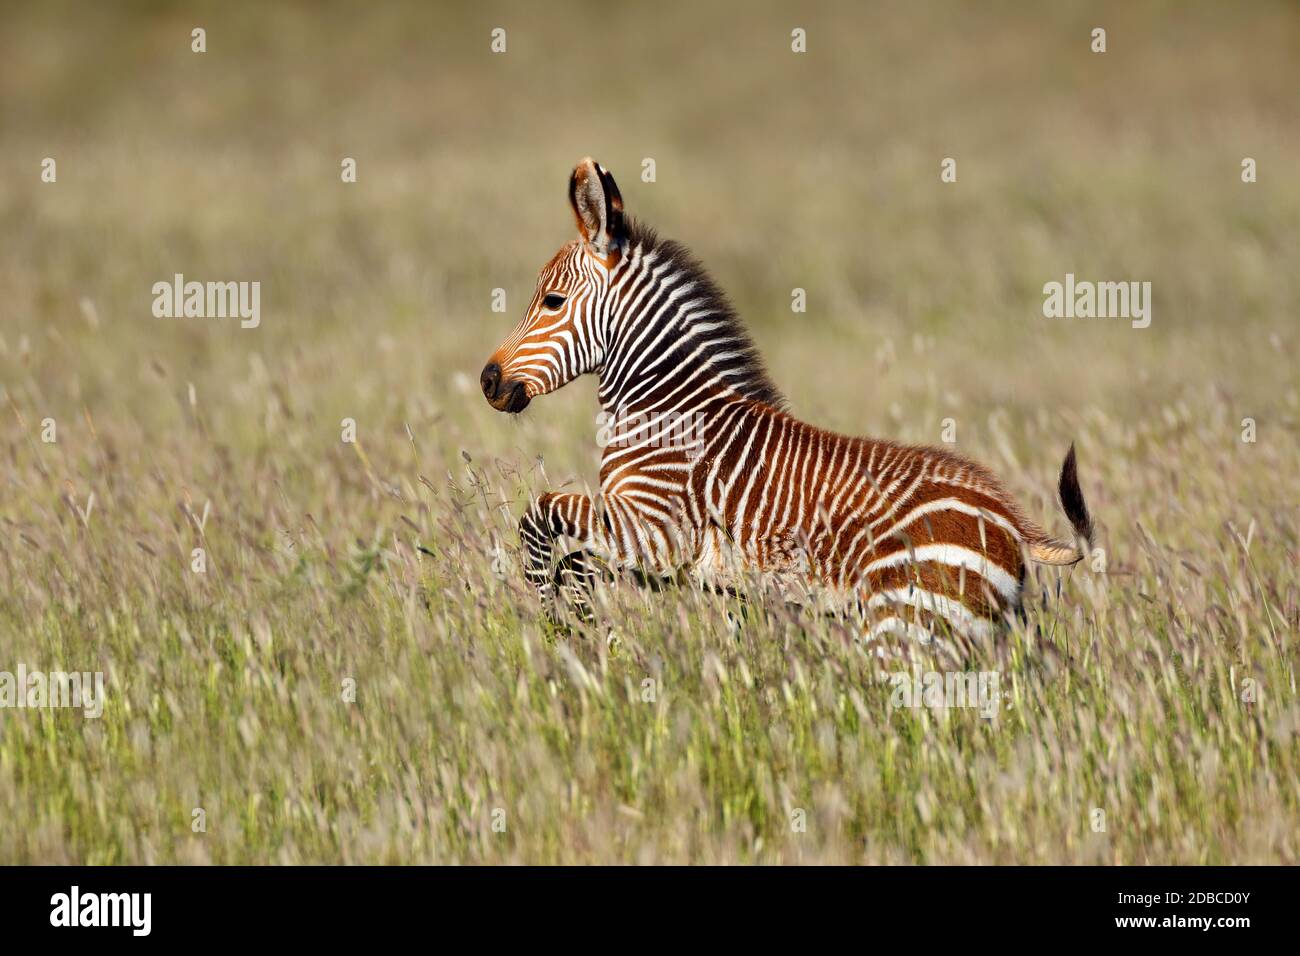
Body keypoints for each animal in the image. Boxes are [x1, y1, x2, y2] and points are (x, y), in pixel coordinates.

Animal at [483, 158, 1092, 665]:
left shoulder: (656, 530)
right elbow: (573, 558)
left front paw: (555, 614)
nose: (489, 380)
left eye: (553, 303)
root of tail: (1007, 515)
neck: (666, 406)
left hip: (906, 625)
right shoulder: (649, 549)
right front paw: (578, 618)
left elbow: (539, 516)